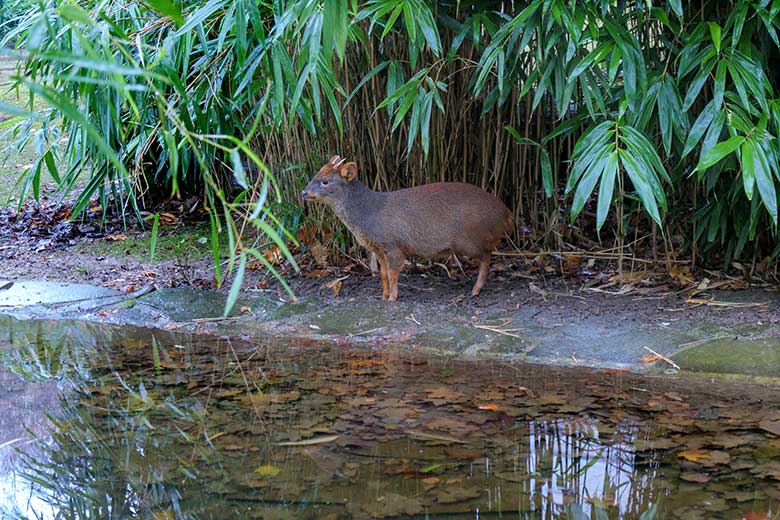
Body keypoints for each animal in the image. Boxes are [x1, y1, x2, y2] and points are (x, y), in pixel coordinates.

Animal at [302, 154, 516, 300]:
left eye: (325, 181)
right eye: (316, 174)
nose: (304, 192)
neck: (368, 214)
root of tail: (507, 214)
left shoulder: (394, 245)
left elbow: (393, 273)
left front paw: (392, 298)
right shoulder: (378, 249)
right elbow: (383, 274)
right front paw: (383, 296)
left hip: (471, 239)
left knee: (487, 256)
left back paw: (476, 290)